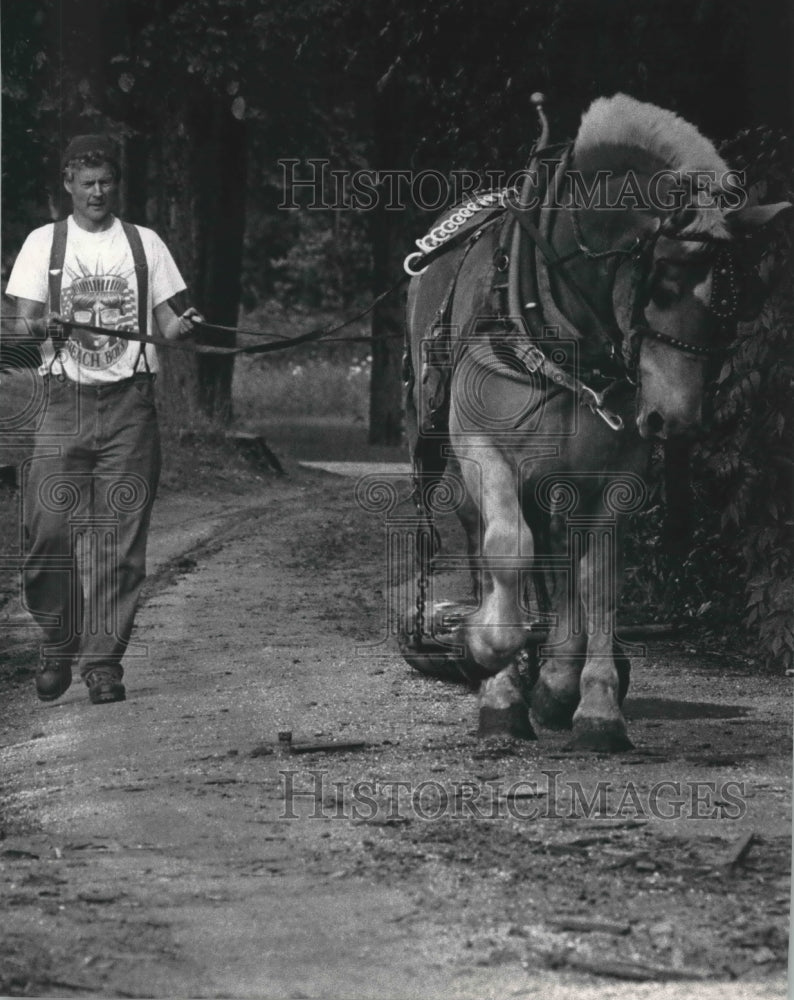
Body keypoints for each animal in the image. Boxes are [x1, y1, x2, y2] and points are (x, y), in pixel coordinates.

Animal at [406, 94, 788, 752]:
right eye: (662, 285)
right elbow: (507, 550)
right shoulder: (483, 448)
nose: (674, 420)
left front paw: (594, 706)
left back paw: (555, 676)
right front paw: (490, 653)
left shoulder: (615, 472)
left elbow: (600, 579)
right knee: (488, 543)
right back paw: (502, 681)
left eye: (731, 305)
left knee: (562, 552)